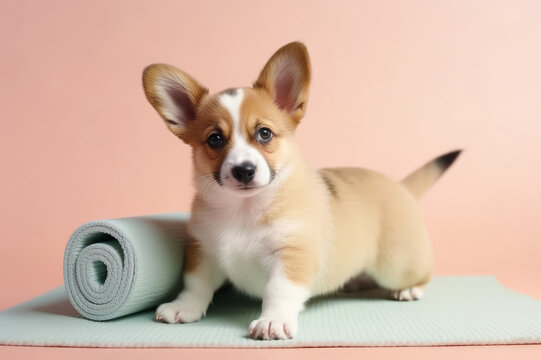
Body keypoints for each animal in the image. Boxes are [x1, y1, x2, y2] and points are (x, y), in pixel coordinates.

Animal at [140, 42, 460, 340]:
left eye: (264, 133)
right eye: (215, 139)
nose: (244, 170)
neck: (244, 209)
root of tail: (400, 185)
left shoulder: (291, 255)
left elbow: (278, 290)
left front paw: (273, 321)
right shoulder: (203, 251)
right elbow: (195, 285)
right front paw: (183, 307)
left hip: (396, 266)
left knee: (420, 274)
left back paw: (409, 290)